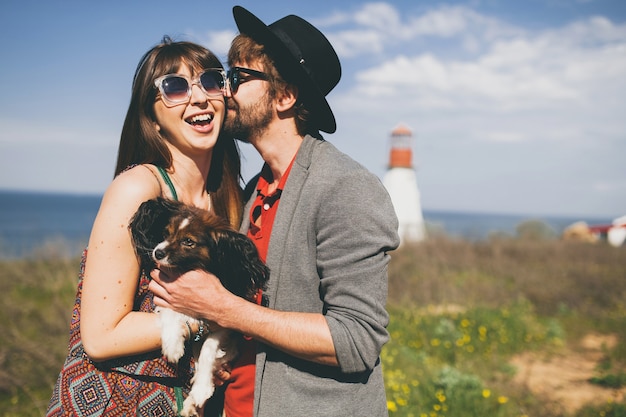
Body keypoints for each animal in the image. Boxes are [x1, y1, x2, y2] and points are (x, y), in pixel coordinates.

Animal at [129, 197, 268, 414]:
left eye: (188, 242)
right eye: (166, 234)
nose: (158, 252)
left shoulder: (224, 326)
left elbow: (208, 351)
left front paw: (202, 387)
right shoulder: (165, 295)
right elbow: (171, 314)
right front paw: (173, 345)